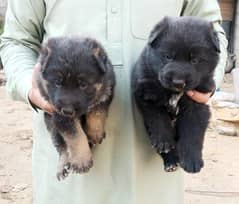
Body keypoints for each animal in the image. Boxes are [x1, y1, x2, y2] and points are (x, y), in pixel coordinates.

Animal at [37, 36, 116, 180]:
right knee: (62, 148)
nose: (68, 110)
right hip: (52, 127)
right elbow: (75, 135)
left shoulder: (107, 90)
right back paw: (62, 166)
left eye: (83, 85)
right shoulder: (59, 115)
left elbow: (97, 113)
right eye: (57, 83)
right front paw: (81, 161)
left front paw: (94, 133)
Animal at [133, 16, 220, 173]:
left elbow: (192, 133)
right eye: (168, 56)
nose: (178, 81)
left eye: (195, 60)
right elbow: (158, 119)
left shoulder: (197, 105)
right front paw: (163, 142)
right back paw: (171, 161)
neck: (174, 92)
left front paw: (192, 161)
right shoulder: (147, 95)